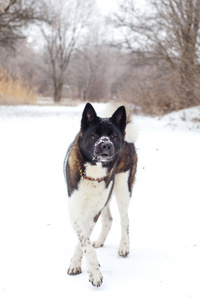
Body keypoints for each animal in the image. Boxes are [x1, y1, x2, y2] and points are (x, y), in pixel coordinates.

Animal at [64, 103, 138, 288]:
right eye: (95, 135)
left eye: (112, 136)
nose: (106, 145)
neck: (93, 171)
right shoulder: (75, 211)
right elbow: (84, 239)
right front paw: (82, 265)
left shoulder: (93, 212)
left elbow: (84, 240)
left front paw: (92, 272)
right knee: (109, 219)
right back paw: (99, 241)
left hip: (122, 187)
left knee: (125, 219)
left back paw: (124, 247)